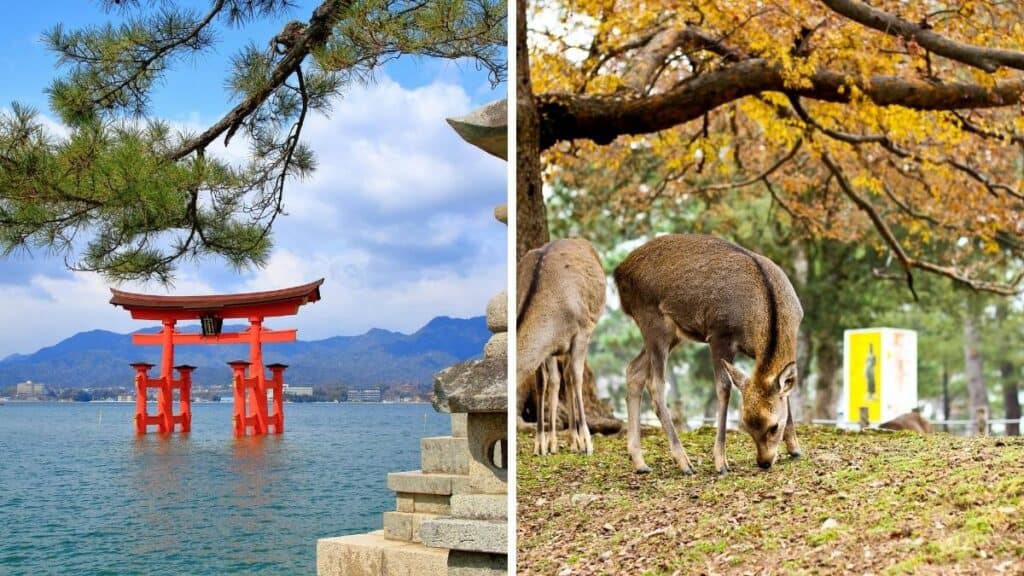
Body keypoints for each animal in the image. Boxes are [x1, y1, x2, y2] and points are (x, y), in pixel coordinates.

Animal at [517, 238, 606, 456]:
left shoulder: (581, 332)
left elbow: (576, 377)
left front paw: (587, 443)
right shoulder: (549, 348)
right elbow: (546, 382)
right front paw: (542, 445)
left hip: (587, 332)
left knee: (571, 376)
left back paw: (576, 441)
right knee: (560, 377)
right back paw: (569, 440)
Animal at [613, 234, 803, 475]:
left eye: (773, 426)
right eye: (746, 424)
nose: (764, 462)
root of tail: (618, 272)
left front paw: (795, 448)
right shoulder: (719, 335)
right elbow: (723, 389)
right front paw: (721, 462)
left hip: (672, 333)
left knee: (634, 370)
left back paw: (640, 462)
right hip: (652, 320)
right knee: (656, 385)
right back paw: (684, 462)